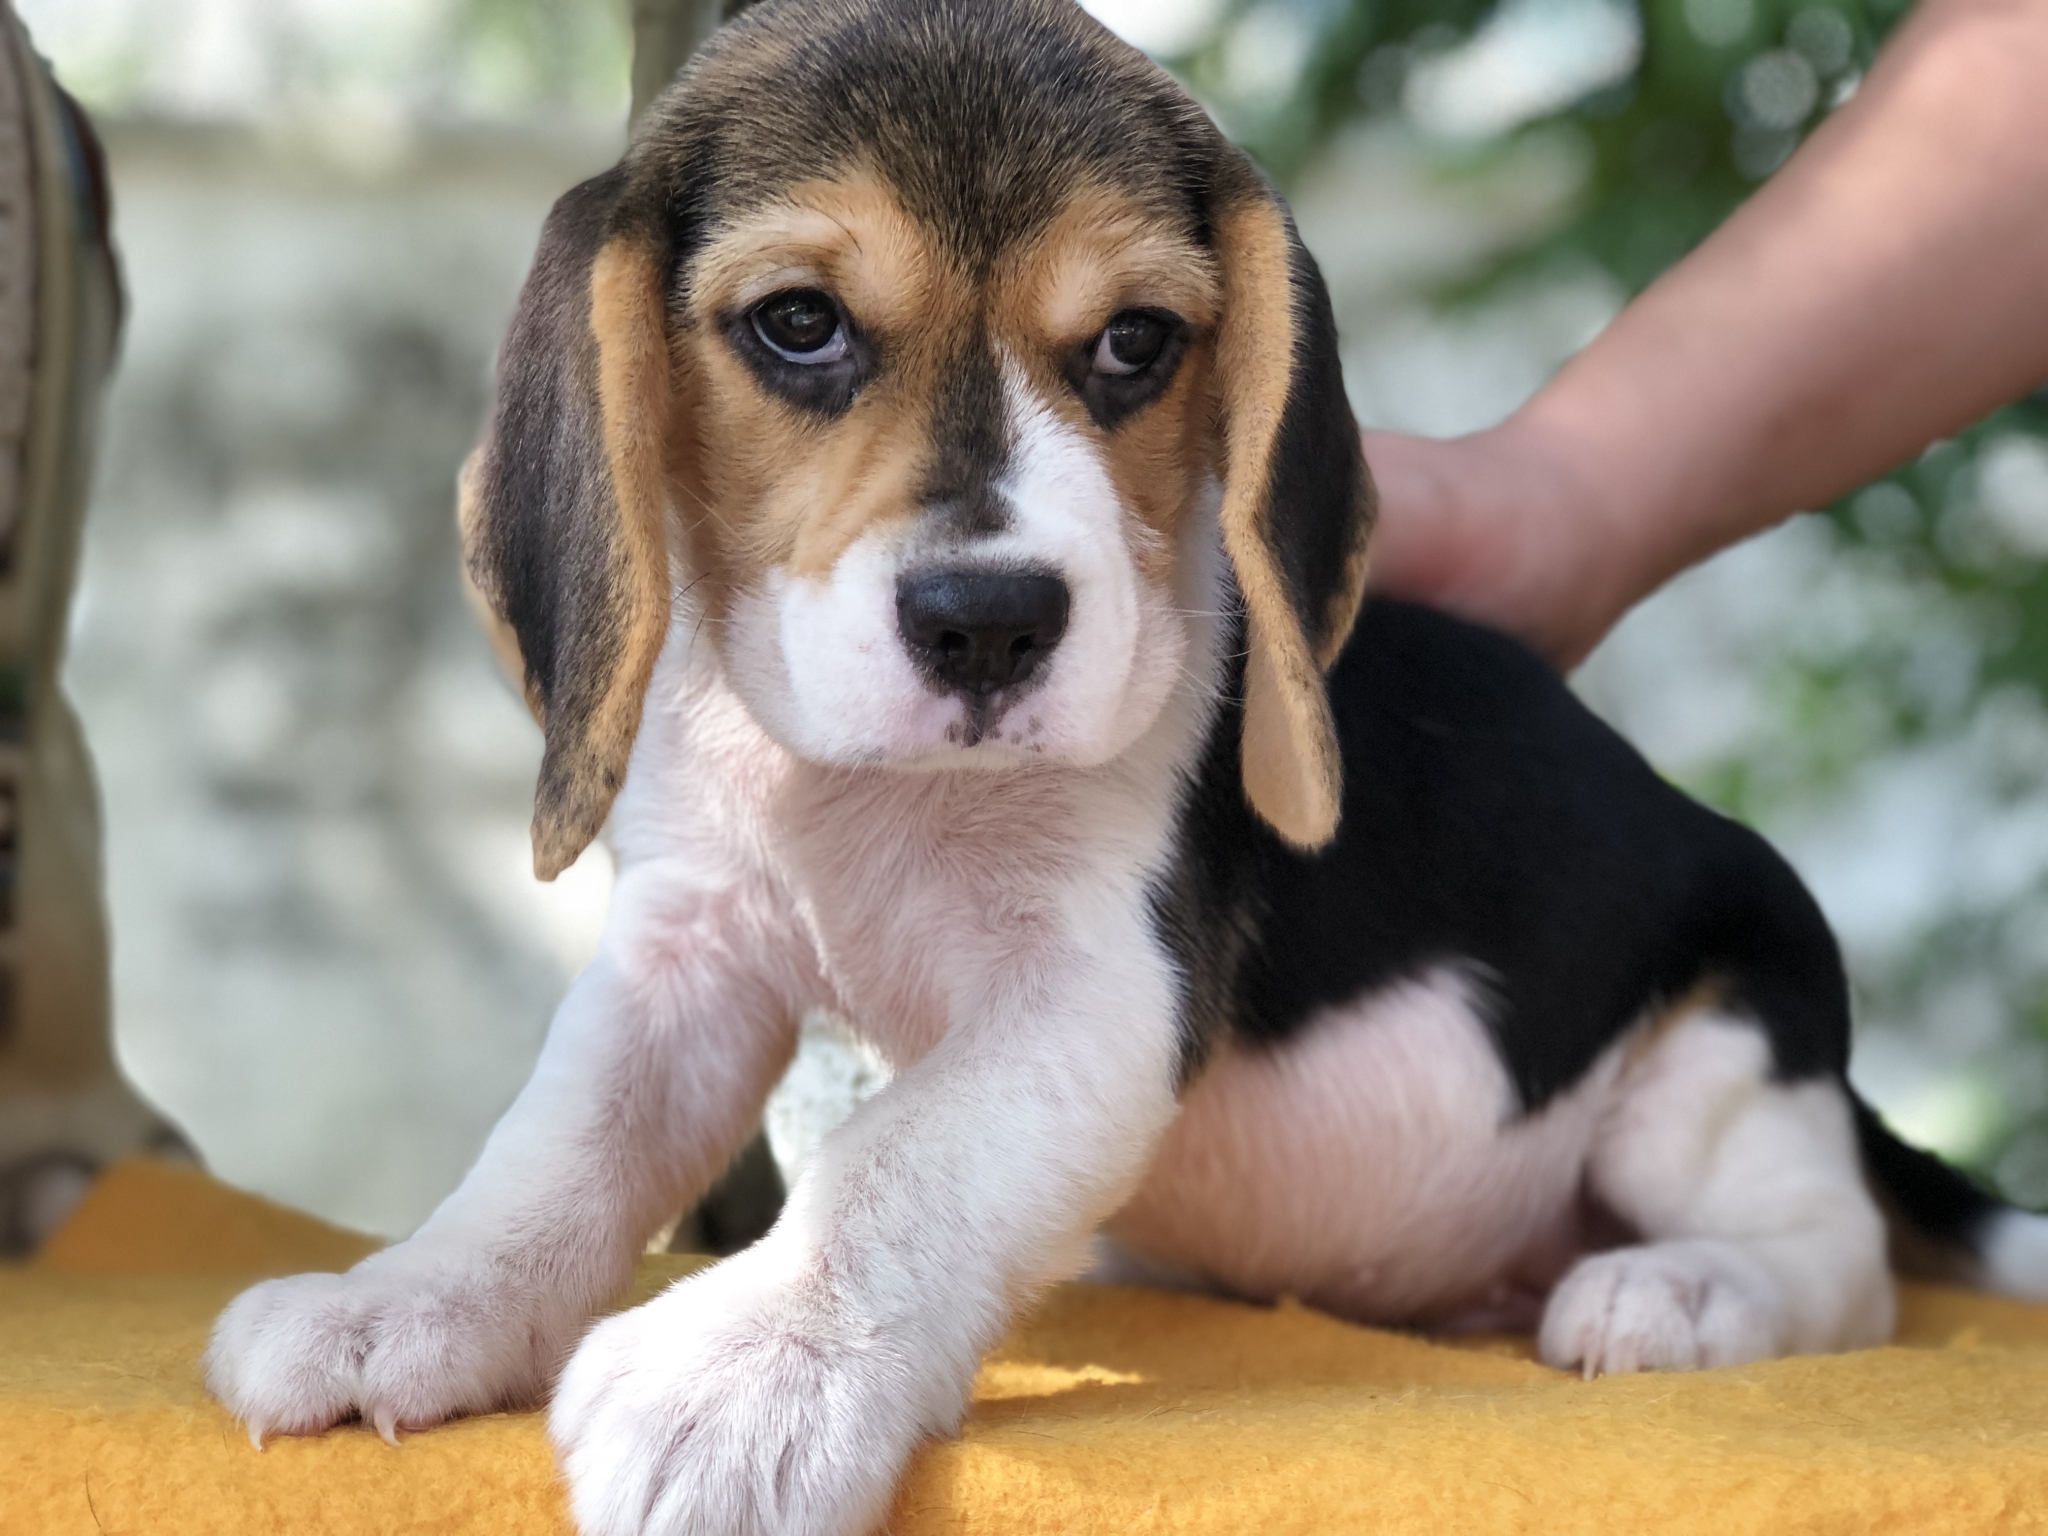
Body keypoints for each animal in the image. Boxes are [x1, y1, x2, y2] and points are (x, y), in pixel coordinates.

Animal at [203, 1, 2048, 1531]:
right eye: (797, 325)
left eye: (1135, 344)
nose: (989, 622)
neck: (884, 797)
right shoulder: (685, 953)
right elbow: (555, 1149)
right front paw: (410, 1299)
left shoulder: (1097, 997)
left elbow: (894, 1162)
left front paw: (749, 1376)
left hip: (1721, 1046)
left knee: (1845, 1267)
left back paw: (1674, 1293)